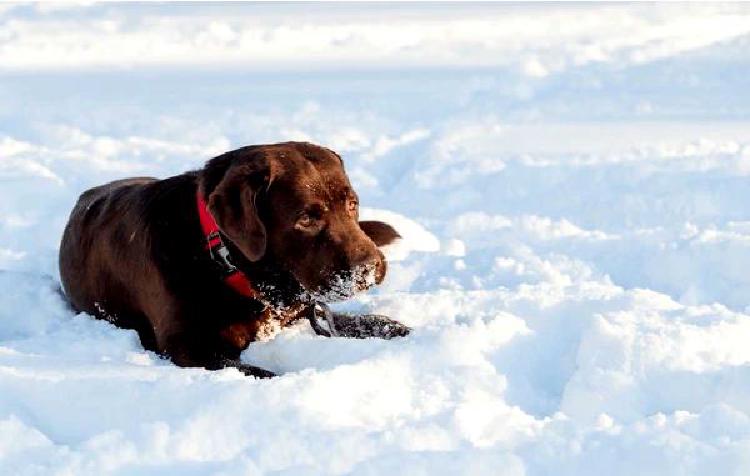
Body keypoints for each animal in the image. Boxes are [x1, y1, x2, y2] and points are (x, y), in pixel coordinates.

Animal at [60, 141, 406, 376]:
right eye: (306, 219)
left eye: (352, 204)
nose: (369, 269)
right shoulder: (188, 347)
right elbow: (260, 372)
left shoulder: (306, 312)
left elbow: (367, 321)